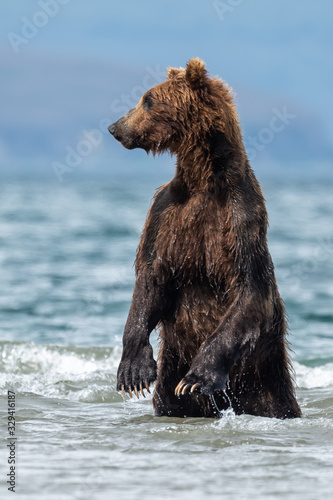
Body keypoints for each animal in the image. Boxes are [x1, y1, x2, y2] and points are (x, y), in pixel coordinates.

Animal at [108, 57, 300, 418]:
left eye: (147, 100)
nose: (115, 127)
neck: (203, 180)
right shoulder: (166, 215)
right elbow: (150, 278)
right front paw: (133, 371)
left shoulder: (240, 219)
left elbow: (248, 288)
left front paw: (197, 377)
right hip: (170, 374)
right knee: (169, 399)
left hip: (264, 378)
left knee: (275, 399)